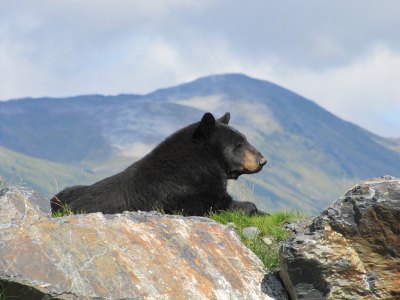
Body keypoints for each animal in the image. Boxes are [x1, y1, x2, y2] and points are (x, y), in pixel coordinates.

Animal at [51, 112, 268, 216]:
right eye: (239, 144)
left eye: (245, 139)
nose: (262, 161)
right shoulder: (186, 193)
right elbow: (217, 205)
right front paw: (252, 208)